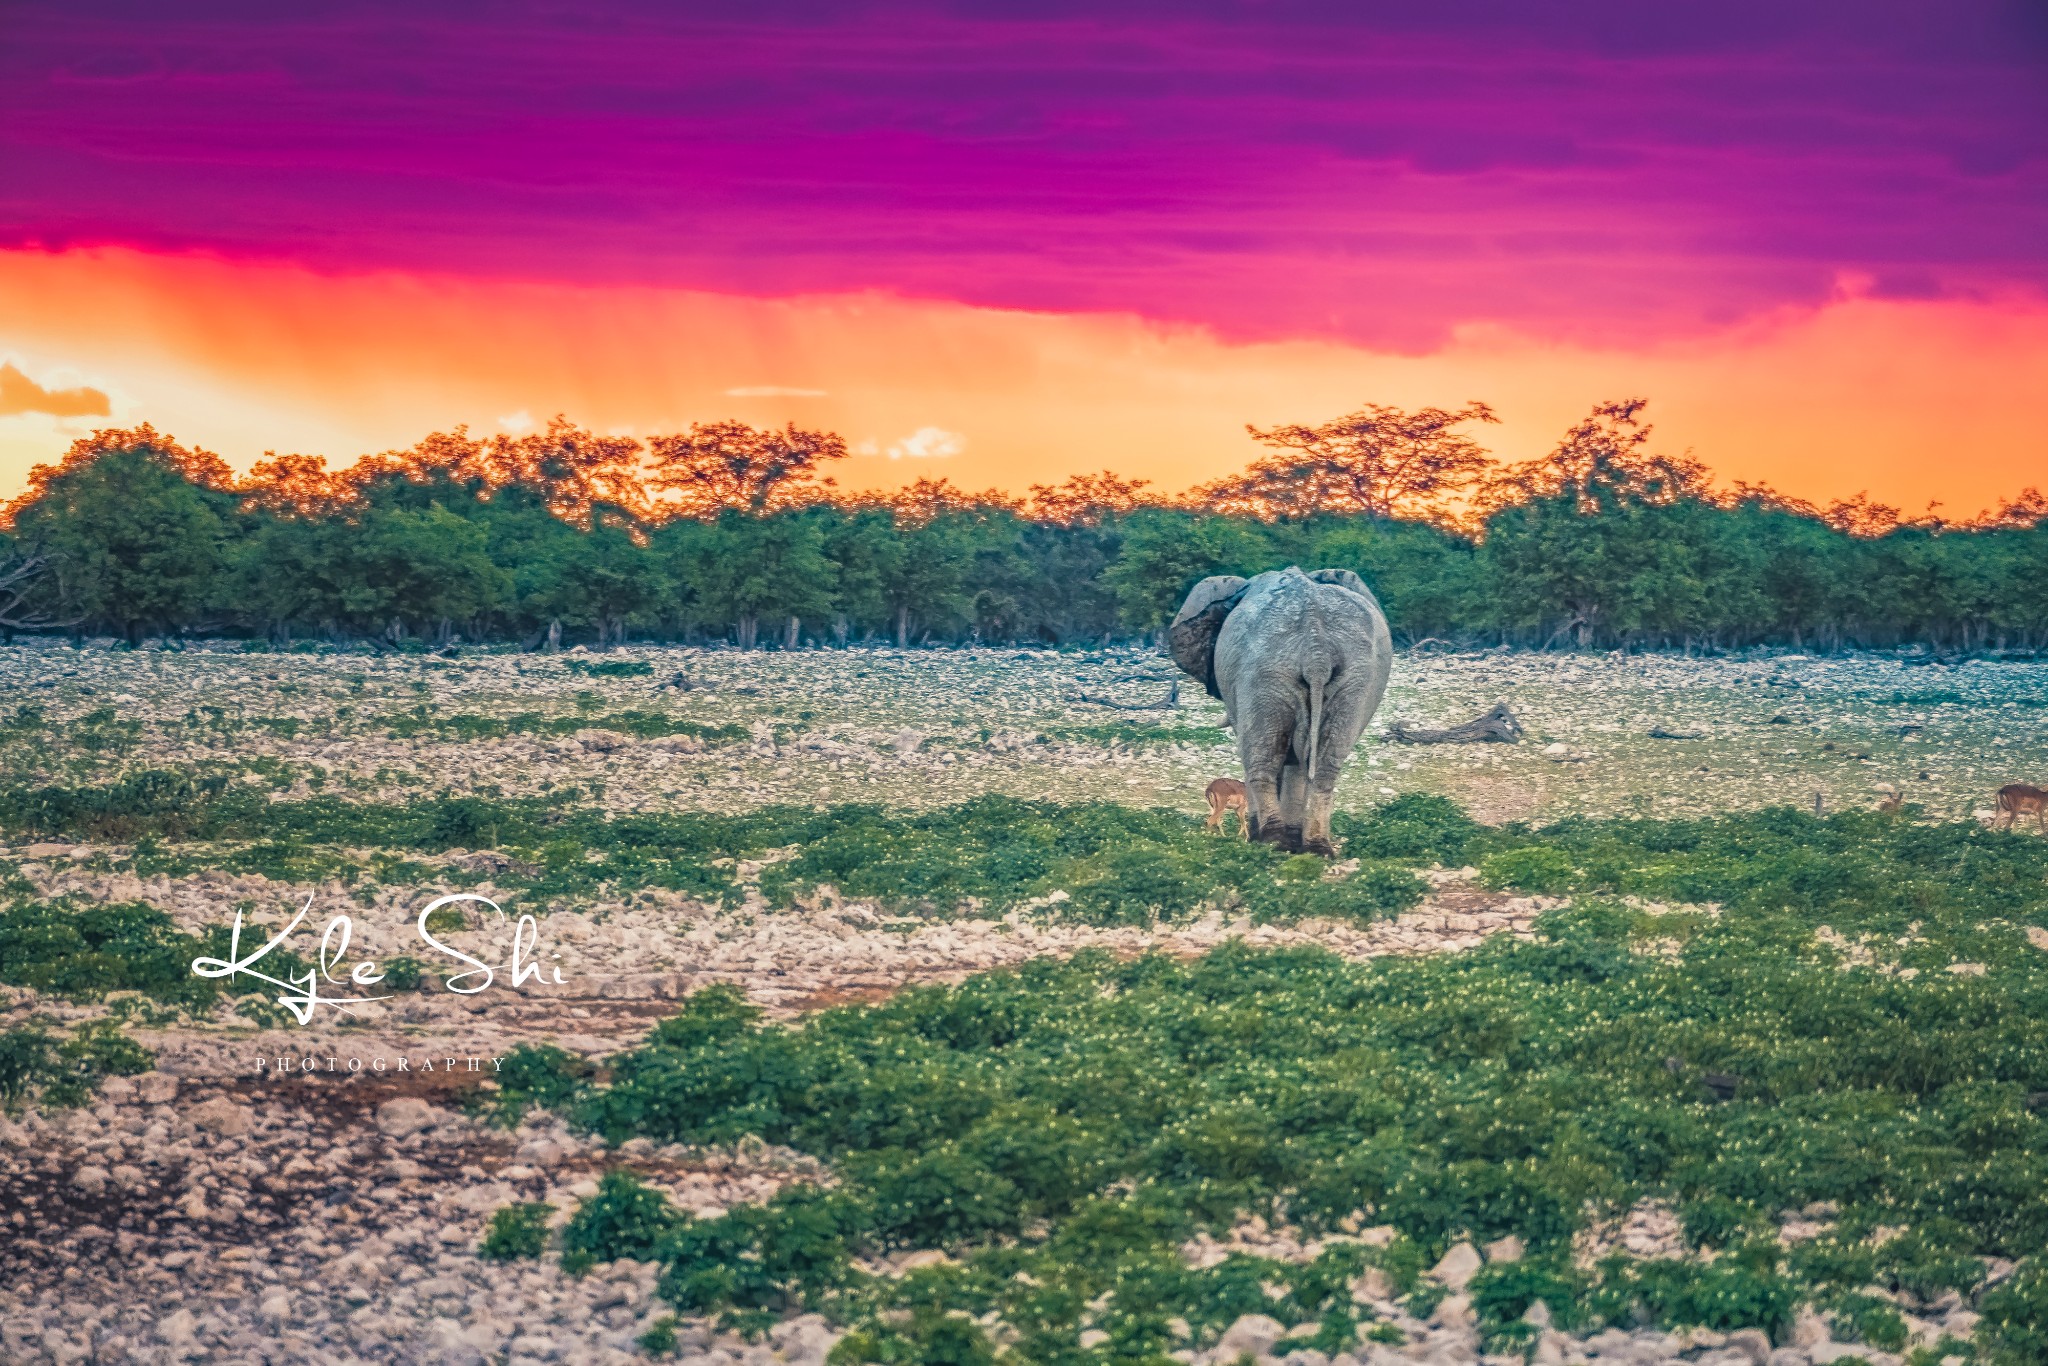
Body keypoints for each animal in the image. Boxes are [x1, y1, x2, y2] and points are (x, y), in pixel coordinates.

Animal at [1171, 565, 1392, 856]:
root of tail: (1316, 648)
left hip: (1265, 672)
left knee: (1261, 757)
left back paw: (1271, 842)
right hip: (1353, 679)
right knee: (1324, 764)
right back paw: (1316, 848)